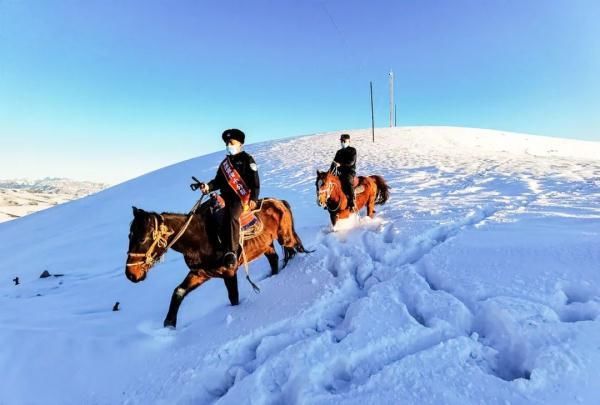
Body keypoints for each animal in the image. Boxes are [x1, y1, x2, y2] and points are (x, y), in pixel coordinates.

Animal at [123, 197, 308, 326]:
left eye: (142, 238)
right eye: (130, 236)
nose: (131, 274)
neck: (201, 239)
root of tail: (279, 201)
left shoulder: (229, 272)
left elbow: (233, 298)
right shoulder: (200, 273)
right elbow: (178, 292)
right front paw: (169, 324)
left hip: (286, 237)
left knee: (296, 247)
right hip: (265, 246)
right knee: (274, 259)